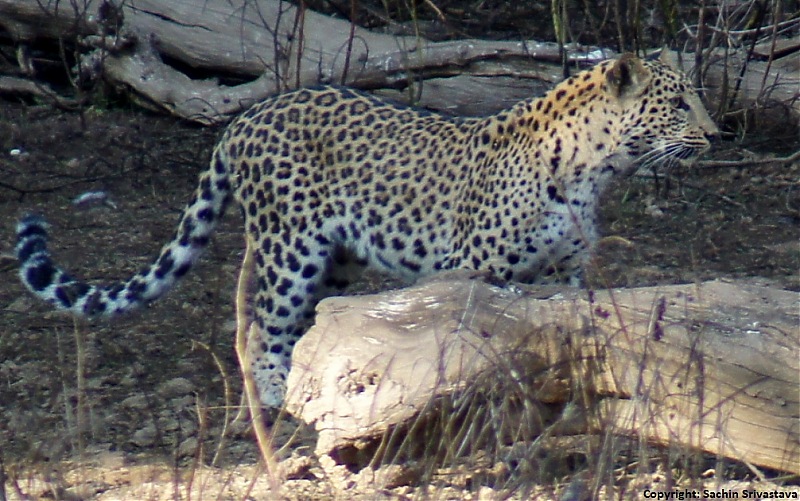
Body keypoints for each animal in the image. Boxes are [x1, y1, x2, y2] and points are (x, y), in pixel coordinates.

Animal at [17, 53, 720, 406]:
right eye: (678, 102)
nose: (717, 135)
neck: (595, 171)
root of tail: (244, 117)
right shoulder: (481, 269)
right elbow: (485, 340)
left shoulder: (567, 274)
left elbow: (574, 337)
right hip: (291, 247)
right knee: (263, 325)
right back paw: (279, 397)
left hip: (338, 258)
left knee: (302, 326)